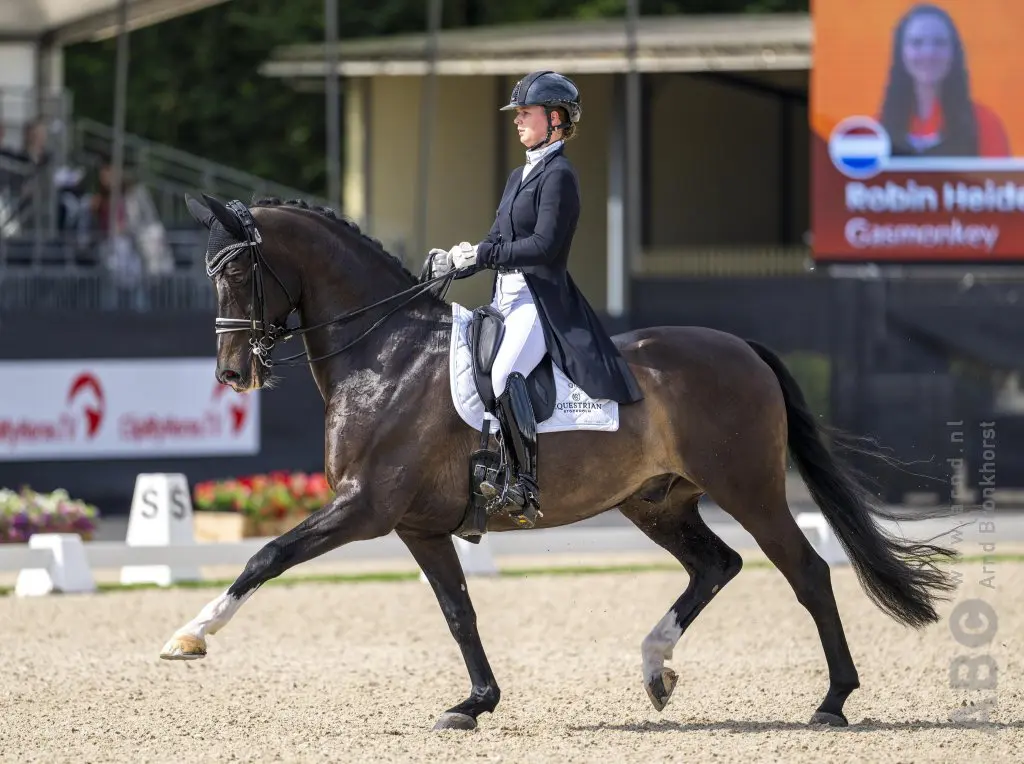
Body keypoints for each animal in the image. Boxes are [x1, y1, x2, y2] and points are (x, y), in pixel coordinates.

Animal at [159, 193, 958, 731]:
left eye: (239, 273)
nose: (233, 374)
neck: (385, 354)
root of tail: (743, 348)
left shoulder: (366, 506)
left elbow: (267, 555)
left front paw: (189, 636)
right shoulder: (418, 525)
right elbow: (459, 611)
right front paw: (475, 704)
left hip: (750, 490)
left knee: (809, 572)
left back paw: (833, 701)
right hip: (656, 500)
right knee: (717, 565)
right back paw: (655, 668)